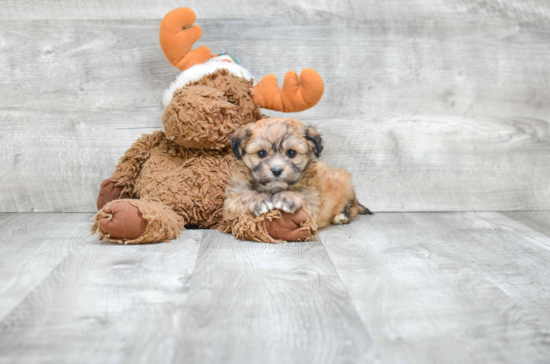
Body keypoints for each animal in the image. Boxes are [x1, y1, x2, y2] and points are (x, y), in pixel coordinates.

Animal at [222, 118, 374, 235]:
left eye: (291, 153)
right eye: (261, 153)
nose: (276, 170)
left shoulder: (313, 205)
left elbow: (303, 197)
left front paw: (287, 197)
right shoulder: (231, 202)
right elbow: (243, 198)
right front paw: (259, 200)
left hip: (346, 182)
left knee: (353, 206)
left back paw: (342, 215)